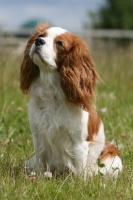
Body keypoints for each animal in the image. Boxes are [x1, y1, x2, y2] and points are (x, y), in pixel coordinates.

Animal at [20, 22, 122, 177]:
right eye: (41, 36)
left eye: (60, 43)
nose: (38, 41)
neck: (52, 93)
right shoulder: (38, 136)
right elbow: (41, 162)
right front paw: (39, 177)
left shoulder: (78, 143)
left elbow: (78, 169)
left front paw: (77, 181)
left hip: (114, 160)